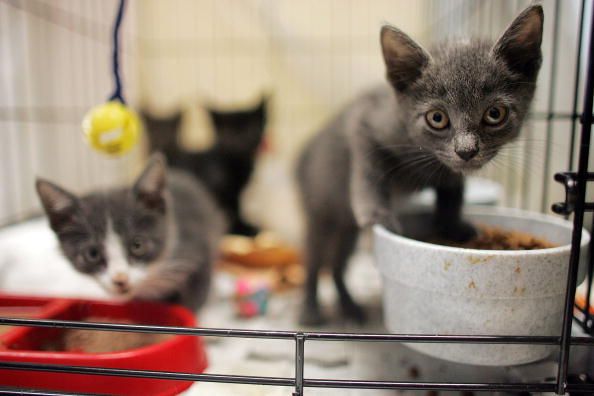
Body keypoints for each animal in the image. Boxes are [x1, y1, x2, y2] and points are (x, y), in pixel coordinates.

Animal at [141, 97, 266, 237]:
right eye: (228, 132)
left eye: (252, 128)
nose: (240, 138)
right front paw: (243, 229)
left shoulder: (234, 195)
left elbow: (237, 211)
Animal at [294, 5, 540, 324]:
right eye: (437, 118)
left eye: (494, 113)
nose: (466, 151)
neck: (425, 155)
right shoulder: (364, 120)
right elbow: (369, 171)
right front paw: (378, 216)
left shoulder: (451, 170)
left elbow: (453, 189)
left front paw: (452, 225)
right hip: (319, 211)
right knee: (314, 260)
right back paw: (310, 310)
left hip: (344, 228)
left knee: (336, 264)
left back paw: (350, 307)